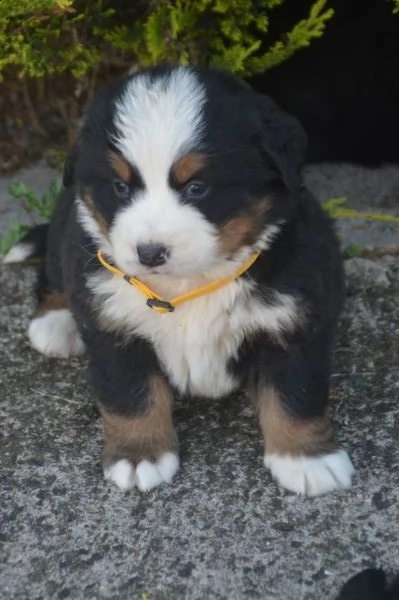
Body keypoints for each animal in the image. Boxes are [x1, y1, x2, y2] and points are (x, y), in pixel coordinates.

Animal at [5, 65, 356, 494]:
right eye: (120, 187)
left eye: (197, 187)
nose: (150, 252)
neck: (190, 284)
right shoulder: (112, 326)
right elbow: (130, 394)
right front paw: (140, 455)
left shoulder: (297, 318)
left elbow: (297, 393)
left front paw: (307, 459)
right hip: (67, 228)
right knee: (52, 271)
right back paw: (55, 323)